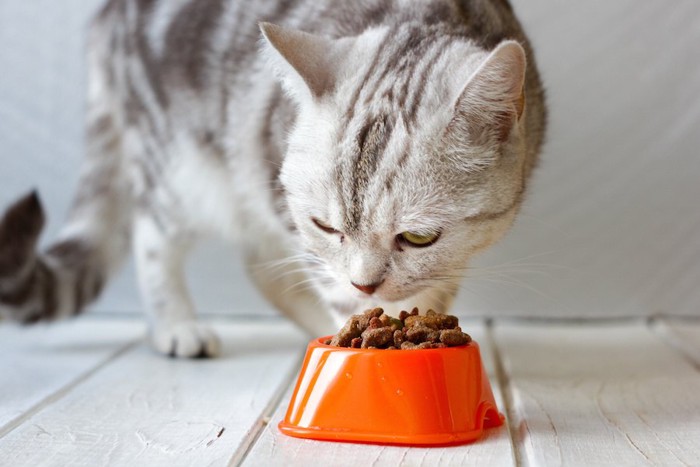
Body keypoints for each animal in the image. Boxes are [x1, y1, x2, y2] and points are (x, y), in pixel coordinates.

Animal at [0, 0, 548, 358]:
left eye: (418, 237)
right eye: (327, 226)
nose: (365, 284)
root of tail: (108, 16)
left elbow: (430, 289)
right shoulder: (296, 222)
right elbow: (337, 294)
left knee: (258, 266)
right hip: (179, 169)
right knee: (153, 239)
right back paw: (177, 326)